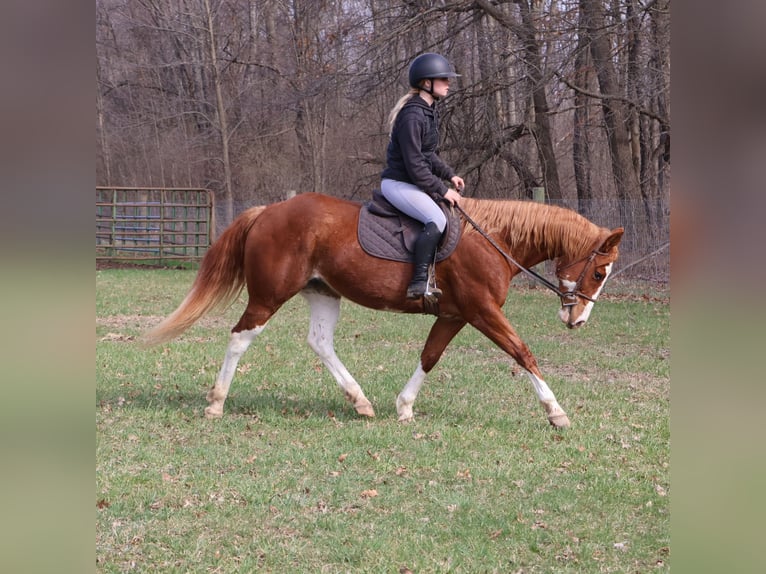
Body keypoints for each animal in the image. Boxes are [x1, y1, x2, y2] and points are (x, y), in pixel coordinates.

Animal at [143, 192, 623, 428]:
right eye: (600, 272)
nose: (578, 320)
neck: (493, 238)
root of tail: (269, 211)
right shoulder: (481, 311)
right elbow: (522, 352)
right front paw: (556, 413)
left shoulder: (454, 315)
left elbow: (430, 356)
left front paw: (404, 407)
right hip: (268, 297)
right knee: (241, 337)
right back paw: (216, 403)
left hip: (323, 292)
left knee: (320, 343)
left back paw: (360, 401)